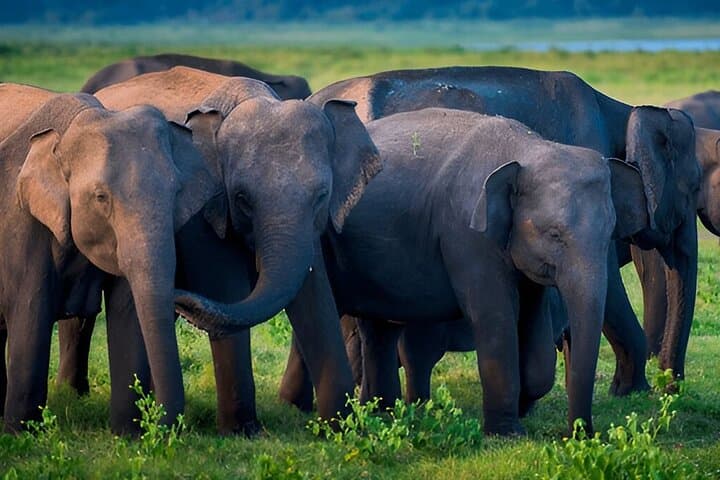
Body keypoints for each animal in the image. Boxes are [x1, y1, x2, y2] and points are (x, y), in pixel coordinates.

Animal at [0, 82, 225, 433]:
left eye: (175, 192)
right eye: (100, 197)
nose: (164, 423)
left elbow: (128, 314)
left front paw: (127, 436)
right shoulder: (20, 220)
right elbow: (30, 313)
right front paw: (21, 435)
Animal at [55, 65, 381, 429]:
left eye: (322, 196)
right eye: (242, 199)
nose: (180, 296)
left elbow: (314, 296)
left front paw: (341, 428)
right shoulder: (205, 215)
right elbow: (226, 288)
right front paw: (243, 432)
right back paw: (72, 396)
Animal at [280, 108, 649, 435]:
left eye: (610, 232)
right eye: (554, 234)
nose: (578, 434)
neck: (528, 148)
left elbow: (532, 325)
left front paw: (523, 405)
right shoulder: (467, 232)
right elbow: (494, 315)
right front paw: (506, 434)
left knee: (378, 329)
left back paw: (382, 410)